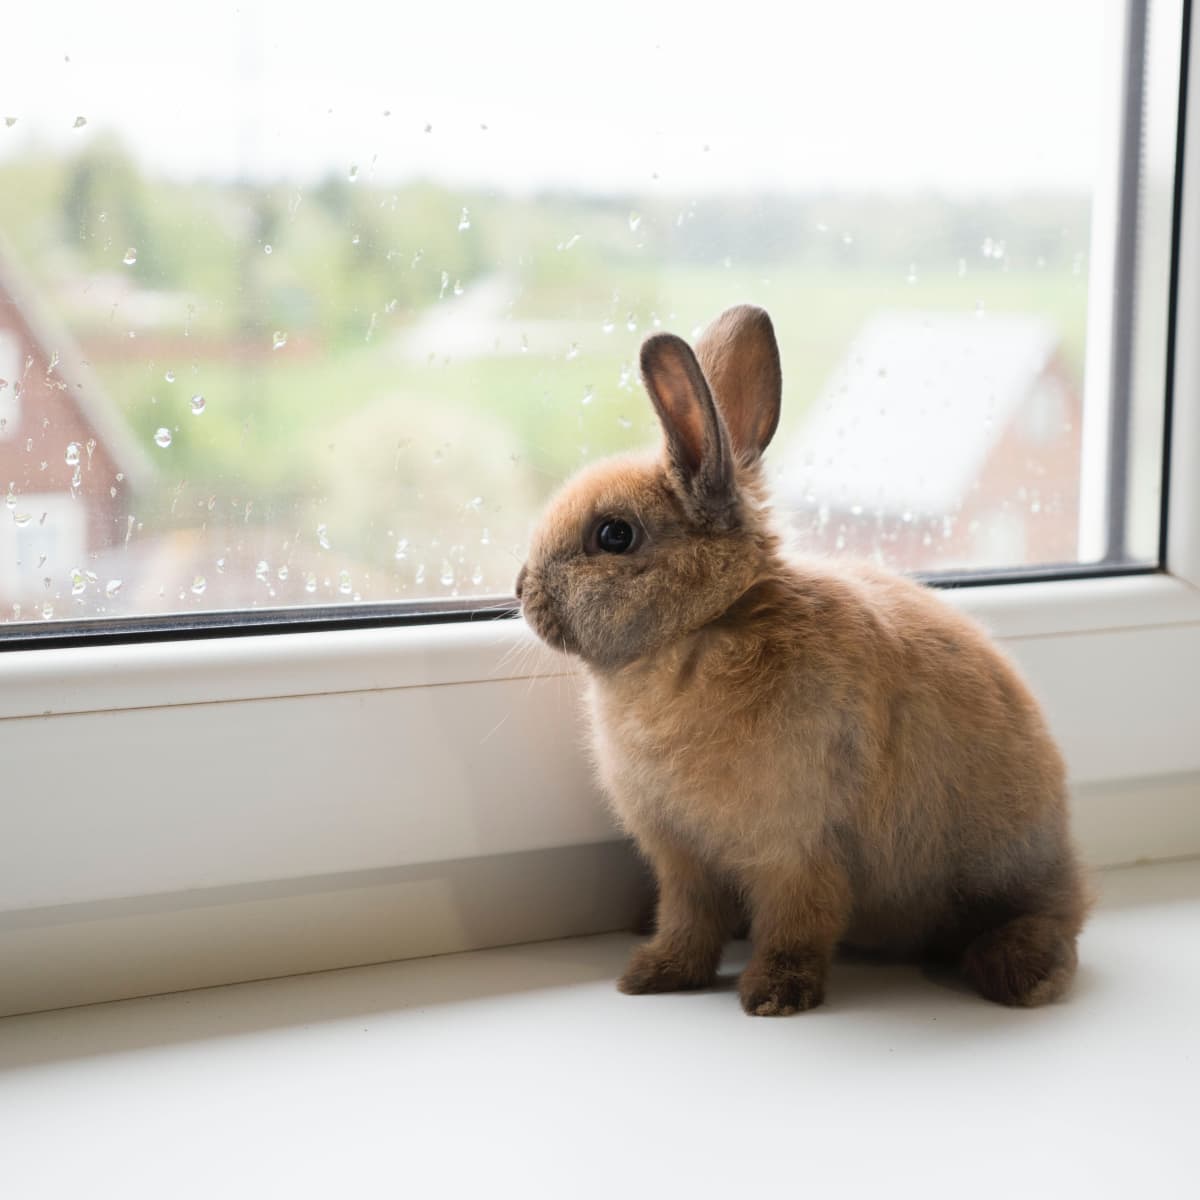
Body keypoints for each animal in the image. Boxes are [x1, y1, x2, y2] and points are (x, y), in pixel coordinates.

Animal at [516, 304, 1089, 1017]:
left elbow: (799, 922)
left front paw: (774, 996)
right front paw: (653, 975)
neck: (704, 628)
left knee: (1054, 919)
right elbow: (687, 920)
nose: (520, 590)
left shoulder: (797, 849)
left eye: (614, 535)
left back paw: (1022, 974)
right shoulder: (683, 860)